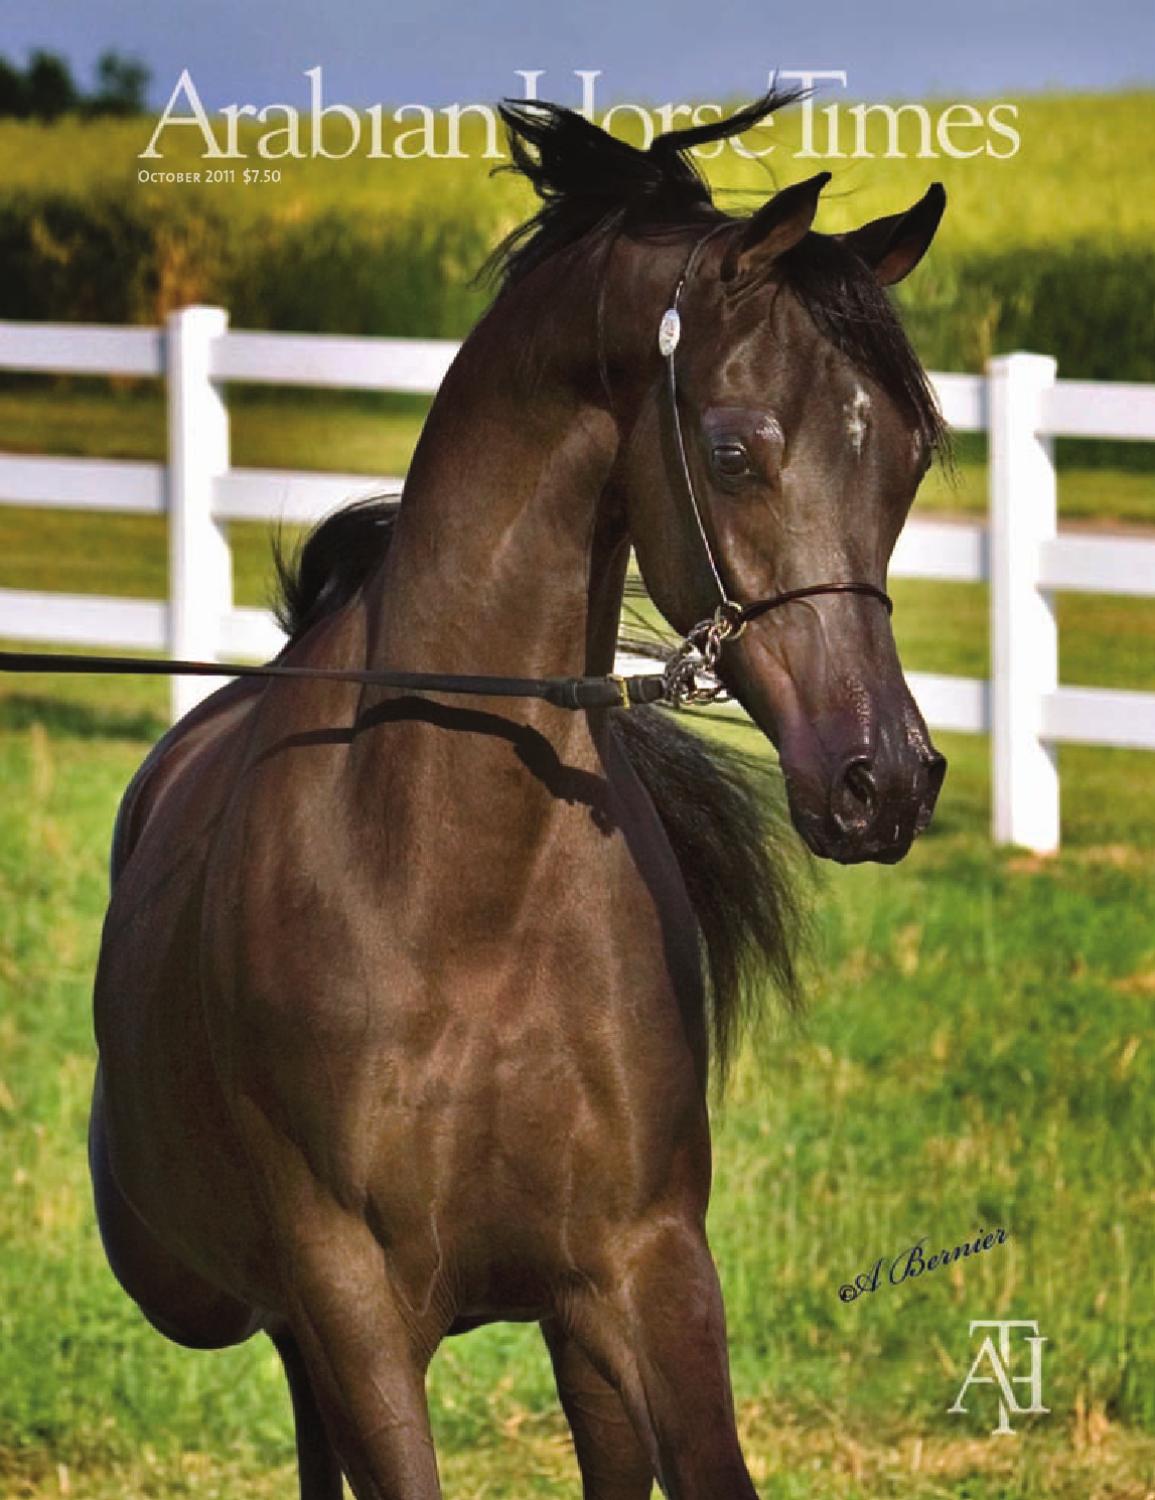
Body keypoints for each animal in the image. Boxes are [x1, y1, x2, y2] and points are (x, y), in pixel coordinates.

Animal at [87, 96, 948, 1500]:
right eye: (734, 450)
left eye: (915, 456)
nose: (886, 779)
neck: (458, 891)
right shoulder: (354, 1304)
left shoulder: (643, 1267)